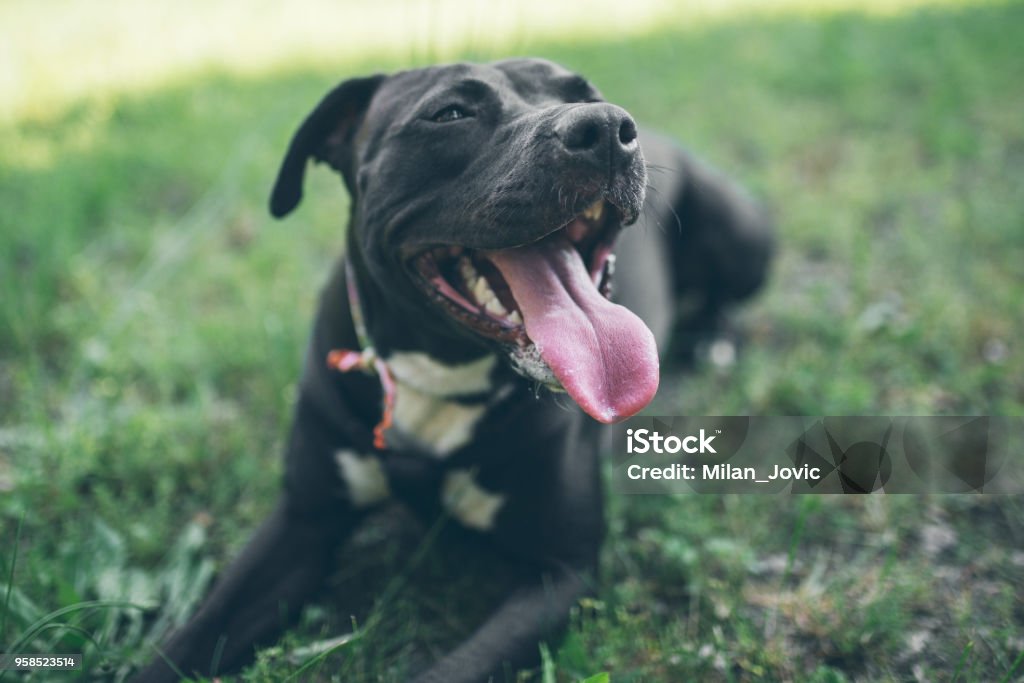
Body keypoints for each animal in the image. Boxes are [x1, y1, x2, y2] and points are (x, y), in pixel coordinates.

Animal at [138, 58, 770, 683]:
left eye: (586, 94)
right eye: (450, 114)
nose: (608, 126)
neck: (441, 369)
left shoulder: (560, 573)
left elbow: (454, 669)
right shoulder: (302, 520)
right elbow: (183, 644)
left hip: (743, 235)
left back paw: (714, 342)